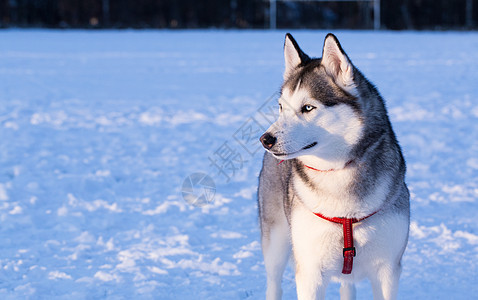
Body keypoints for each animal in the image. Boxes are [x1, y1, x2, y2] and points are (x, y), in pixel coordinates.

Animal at [258, 33, 410, 300]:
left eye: (308, 107)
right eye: (281, 107)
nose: (265, 139)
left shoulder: (388, 270)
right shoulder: (310, 271)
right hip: (276, 239)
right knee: (274, 283)